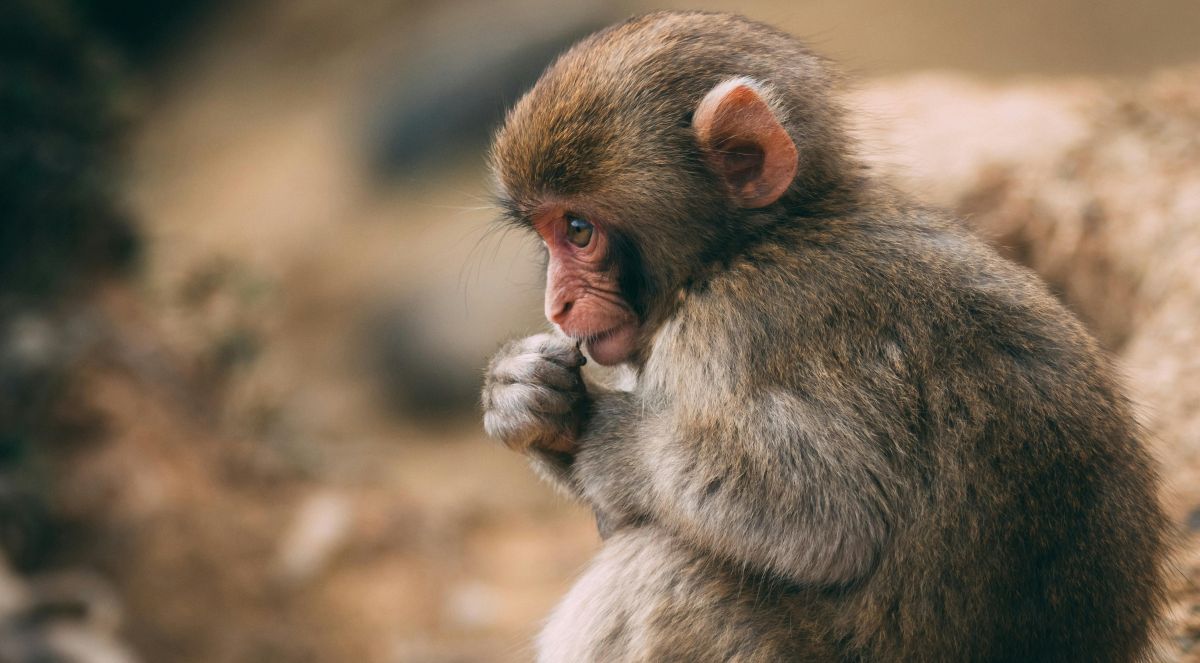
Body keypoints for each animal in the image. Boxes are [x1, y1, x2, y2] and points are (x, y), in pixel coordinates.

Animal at [481, 11, 1170, 663]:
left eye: (577, 229)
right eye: (547, 235)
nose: (558, 304)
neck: (748, 245)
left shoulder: (739, 326)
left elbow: (828, 515)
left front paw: (606, 434)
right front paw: (526, 396)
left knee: (658, 572)